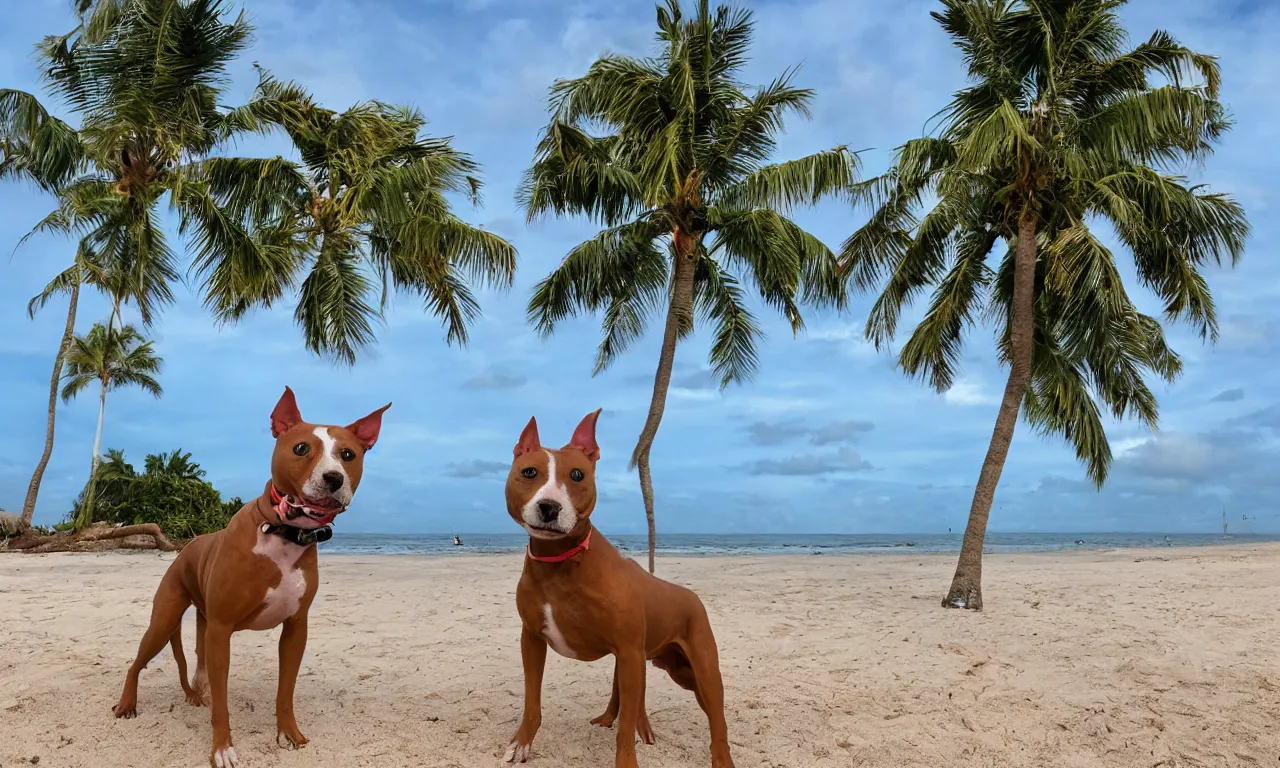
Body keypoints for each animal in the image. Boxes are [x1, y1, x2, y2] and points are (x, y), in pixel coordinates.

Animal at [112, 386, 386, 768]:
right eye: (301, 448)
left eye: (348, 454)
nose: (334, 478)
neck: (283, 532)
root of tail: (188, 546)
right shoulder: (222, 629)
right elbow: (223, 702)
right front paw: (222, 748)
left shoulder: (295, 629)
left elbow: (285, 691)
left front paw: (289, 733)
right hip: (163, 622)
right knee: (137, 663)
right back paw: (128, 703)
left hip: (200, 619)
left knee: (196, 656)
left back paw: (195, 692)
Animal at [501, 412, 737, 768]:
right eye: (529, 472)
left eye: (577, 474)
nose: (549, 507)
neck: (561, 562)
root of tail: (691, 595)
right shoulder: (532, 640)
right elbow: (532, 700)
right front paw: (522, 742)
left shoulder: (629, 651)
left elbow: (625, 730)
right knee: (625, 697)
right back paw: (611, 718)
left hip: (700, 672)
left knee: (716, 719)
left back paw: (719, 757)